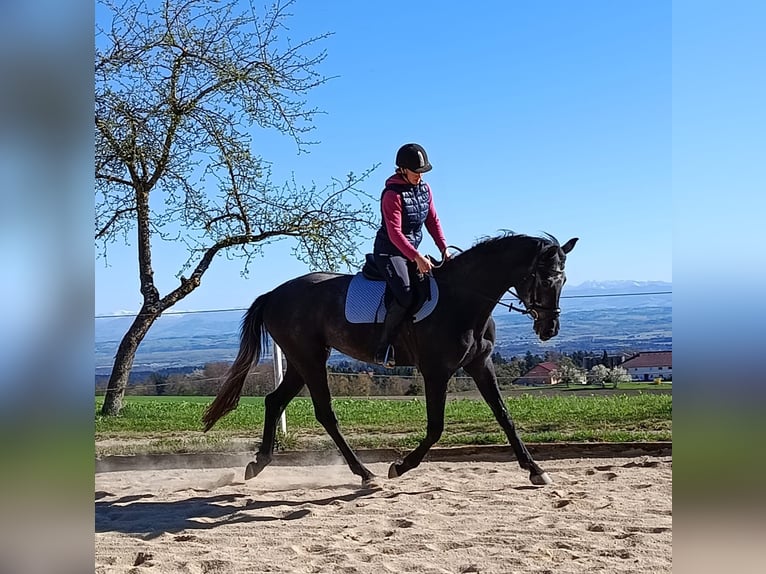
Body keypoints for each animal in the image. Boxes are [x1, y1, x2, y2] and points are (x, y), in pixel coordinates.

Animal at [203, 232, 578, 486]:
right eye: (544, 279)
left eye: (563, 280)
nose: (549, 328)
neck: (463, 301)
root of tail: (274, 293)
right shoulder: (436, 371)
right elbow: (436, 427)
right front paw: (400, 466)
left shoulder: (479, 365)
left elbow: (504, 416)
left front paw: (535, 470)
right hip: (309, 360)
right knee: (325, 413)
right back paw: (364, 473)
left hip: (300, 361)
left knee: (274, 400)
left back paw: (259, 463)